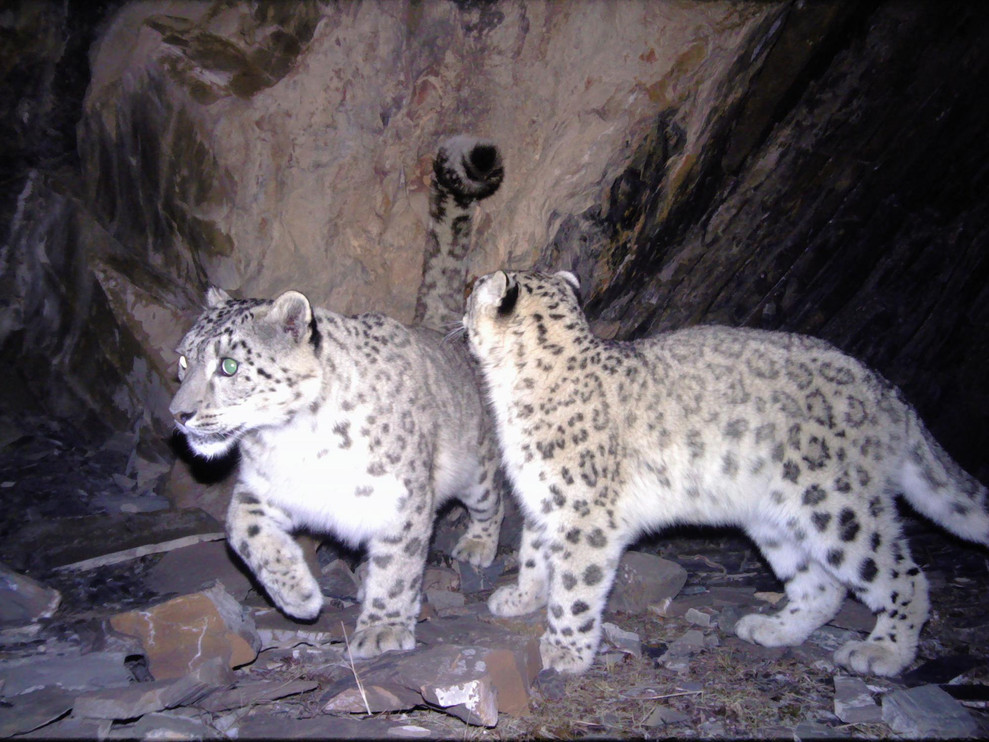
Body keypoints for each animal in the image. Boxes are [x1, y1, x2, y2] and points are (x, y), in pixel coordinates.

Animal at [168, 136, 505, 659]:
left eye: (229, 366)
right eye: (184, 362)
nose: (179, 415)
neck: (293, 442)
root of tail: (434, 332)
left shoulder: (401, 498)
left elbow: (398, 564)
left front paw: (383, 629)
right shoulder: (261, 488)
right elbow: (240, 528)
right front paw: (299, 596)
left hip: (476, 467)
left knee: (493, 501)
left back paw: (477, 545)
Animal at [462, 268, 988, 677]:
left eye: (472, 294)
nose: (461, 312)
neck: (510, 394)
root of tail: (886, 390)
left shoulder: (583, 512)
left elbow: (575, 585)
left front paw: (564, 650)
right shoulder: (544, 500)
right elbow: (534, 555)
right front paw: (521, 597)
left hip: (836, 504)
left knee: (902, 576)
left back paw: (882, 652)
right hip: (774, 519)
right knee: (823, 585)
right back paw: (771, 628)